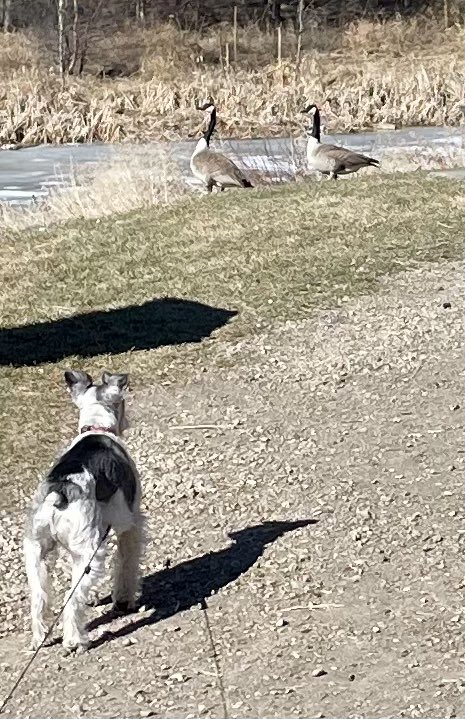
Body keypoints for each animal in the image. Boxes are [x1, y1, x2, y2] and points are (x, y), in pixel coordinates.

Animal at [23, 372, 142, 652]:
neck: (96, 427)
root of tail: (59, 491)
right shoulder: (130, 524)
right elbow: (127, 562)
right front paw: (124, 599)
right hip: (90, 551)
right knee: (70, 599)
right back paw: (75, 641)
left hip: (36, 549)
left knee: (39, 596)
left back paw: (39, 638)